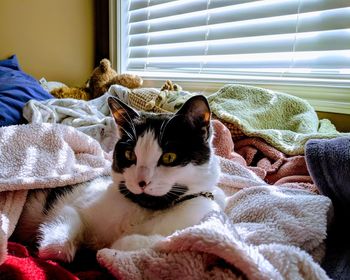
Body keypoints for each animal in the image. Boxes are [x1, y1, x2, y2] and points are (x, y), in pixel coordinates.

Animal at [13, 94, 226, 262]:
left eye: (169, 157)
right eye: (130, 155)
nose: (142, 181)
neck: (144, 210)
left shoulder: (198, 222)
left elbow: (163, 243)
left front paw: (120, 245)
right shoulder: (76, 202)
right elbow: (67, 220)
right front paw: (55, 246)